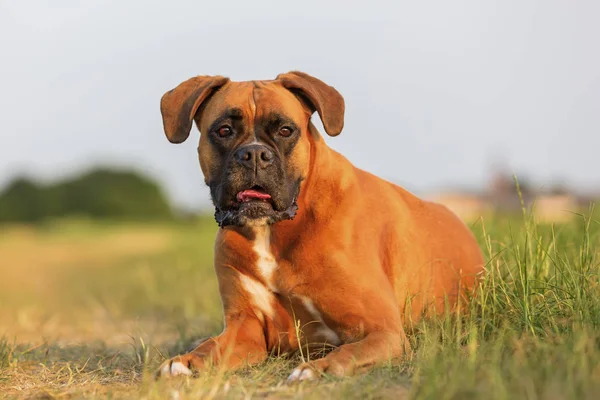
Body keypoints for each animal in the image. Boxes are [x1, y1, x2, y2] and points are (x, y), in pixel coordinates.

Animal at [155, 70, 482, 380]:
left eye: (285, 130)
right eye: (224, 130)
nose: (254, 154)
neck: (273, 232)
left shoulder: (382, 329)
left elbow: (347, 353)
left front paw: (316, 369)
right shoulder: (246, 329)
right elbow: (211, 347)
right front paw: (184, 362)